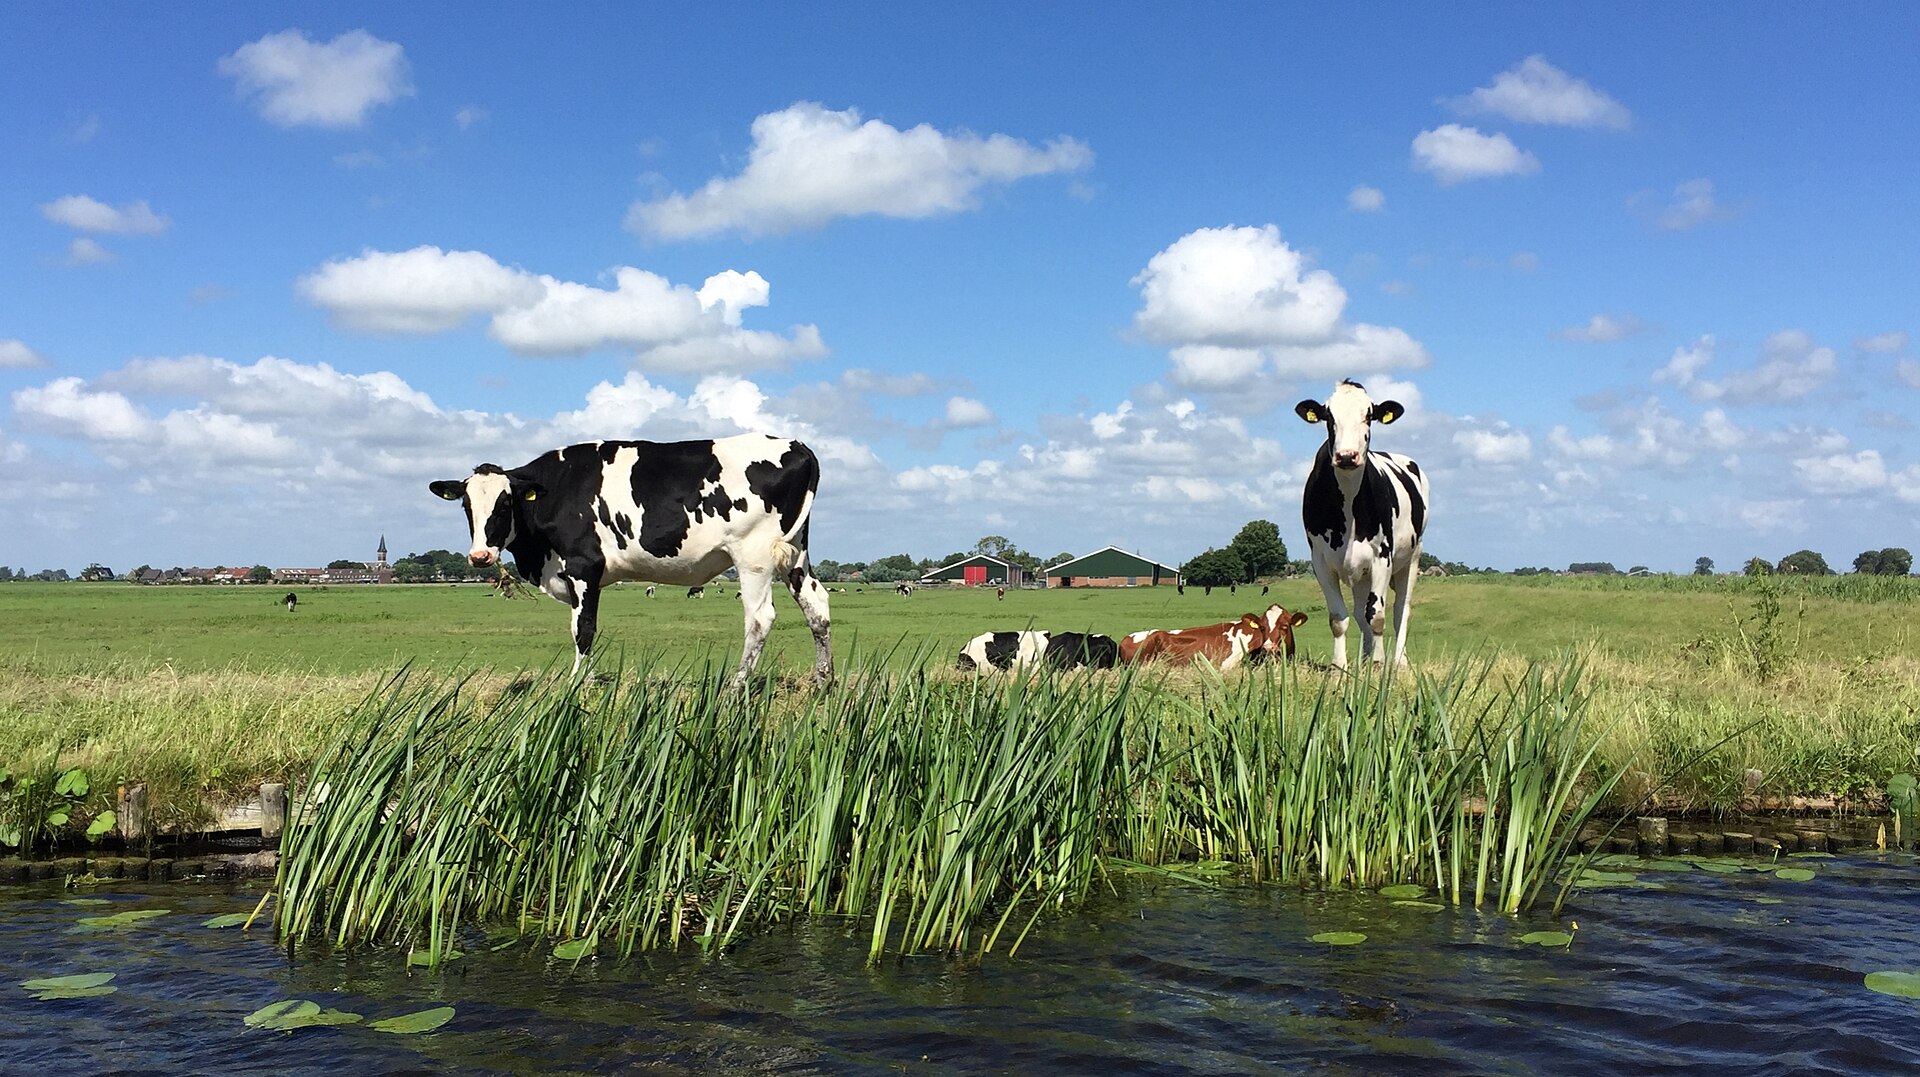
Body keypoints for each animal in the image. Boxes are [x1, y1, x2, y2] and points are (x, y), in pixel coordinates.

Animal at [431, 433, 832, 688]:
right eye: (466, 506)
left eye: (504, 504)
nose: (480, 556)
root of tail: (796, 446)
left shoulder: (584, 568)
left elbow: (584, 629)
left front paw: (578, 683)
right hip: (794, 551)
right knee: (816, 606)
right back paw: (823, 682)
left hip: (753, 556)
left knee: (760, 619)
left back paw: (736, 688)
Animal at [1294, 379, 1430, 669]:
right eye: (1328, 417)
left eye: (1369, 416)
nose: (1347, 456)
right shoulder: (1320, 561)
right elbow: (1339, 618)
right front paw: (1339, 667)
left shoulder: (1382, 557)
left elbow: (1377, 616)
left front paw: (1379, 665)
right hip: (1360, 572)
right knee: (1359, 612)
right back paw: (1367, 658)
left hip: (1413, 557)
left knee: (1401, 610)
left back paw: (1398, 661)